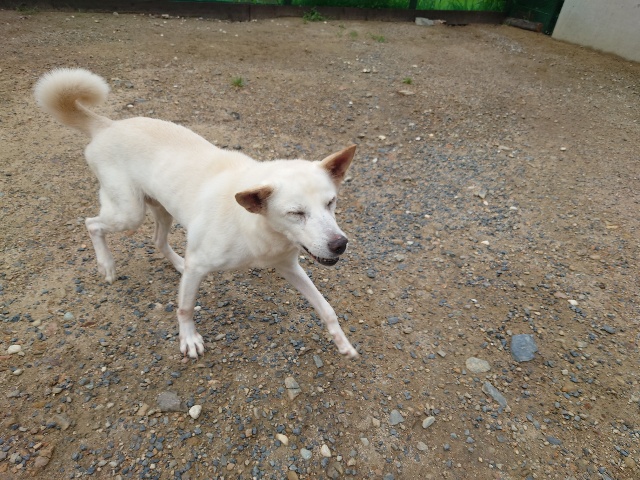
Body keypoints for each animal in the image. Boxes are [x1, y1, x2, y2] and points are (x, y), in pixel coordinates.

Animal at [34, 68, 358, 359]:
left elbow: (326, 308)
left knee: (158, 240)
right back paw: (107, 265)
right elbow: (185, 307)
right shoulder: (202, 264)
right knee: (92, 224)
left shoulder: (288, 265)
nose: (340, 244)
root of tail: (106, 125)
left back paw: (178, 262)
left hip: (161, 209)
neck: (261, 228)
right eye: (296, 213)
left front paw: (343, 344)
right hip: (129, 212)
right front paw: (189, 339)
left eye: (331, 202)